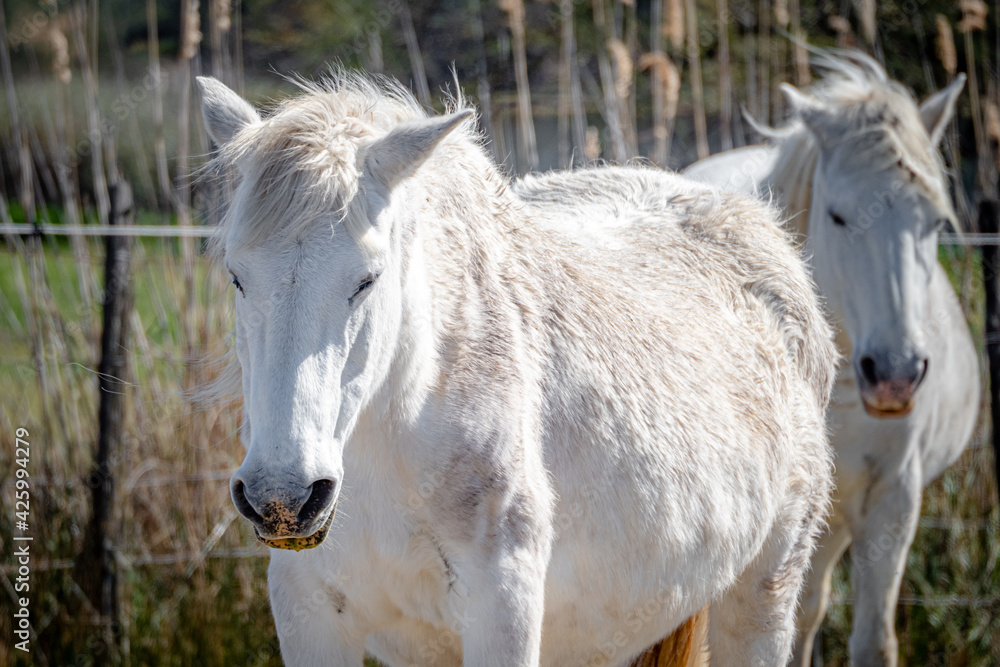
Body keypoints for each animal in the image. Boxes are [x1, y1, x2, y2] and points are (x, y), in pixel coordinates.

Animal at [197, 70, 837, 666]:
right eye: (236, 276)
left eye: (367, 279)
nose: (283, 498)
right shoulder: (308, 614)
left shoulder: (502, 611)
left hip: (763, 597)